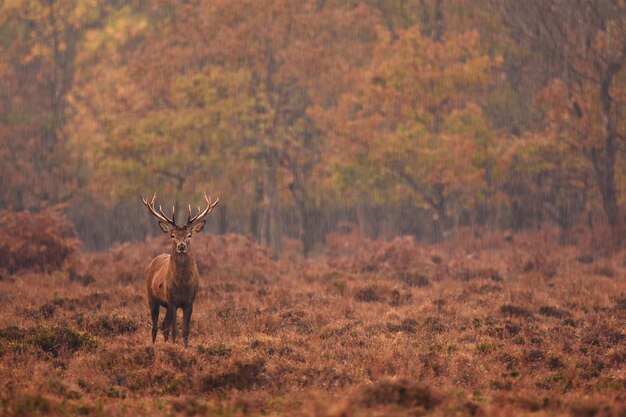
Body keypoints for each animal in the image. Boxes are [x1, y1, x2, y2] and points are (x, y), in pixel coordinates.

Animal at [140, 191, 218, 344]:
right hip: (151, 297)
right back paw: (153, 346)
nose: (181, 246)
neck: (182, 284)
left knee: (164, 324)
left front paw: (185, 346)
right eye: (172, 235)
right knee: (155, 326)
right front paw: (174, 345)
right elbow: (175, 330)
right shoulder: (172, 300)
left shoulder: (190, 301)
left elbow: (186, 330)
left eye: (189, 235)